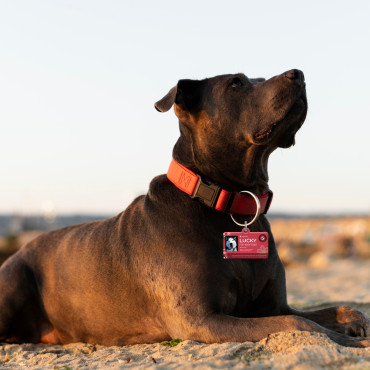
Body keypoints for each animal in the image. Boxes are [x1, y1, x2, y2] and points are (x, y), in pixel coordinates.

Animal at [0, 68, 368, 346]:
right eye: (236, 83)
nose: (299, 74)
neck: (231, 203)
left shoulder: (274, 305)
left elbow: (331, 310)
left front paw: (355, 322)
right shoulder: (202, 319)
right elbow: (300, 325)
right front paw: (349, 341)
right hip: (14, 283)